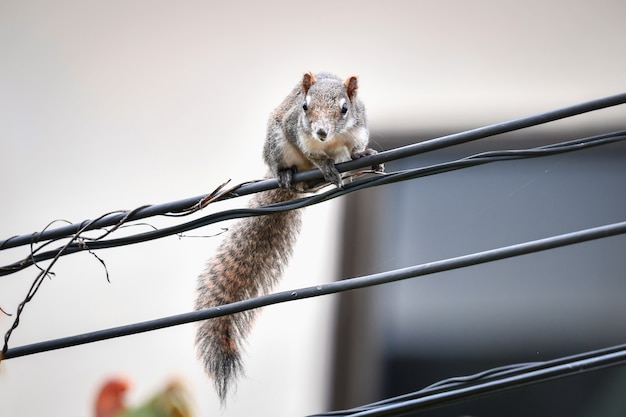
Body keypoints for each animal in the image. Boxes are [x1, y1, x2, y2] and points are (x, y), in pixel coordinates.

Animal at [194, 72, 380, 404]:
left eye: (345, 108)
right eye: (305, 106)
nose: (321, 131)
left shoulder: (357, 129)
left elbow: (355, 148)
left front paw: (364, 156)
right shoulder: (298, 132)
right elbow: (313, 154)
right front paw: (324, 165)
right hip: (277, 145)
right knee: (288, 166)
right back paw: (288, 175)